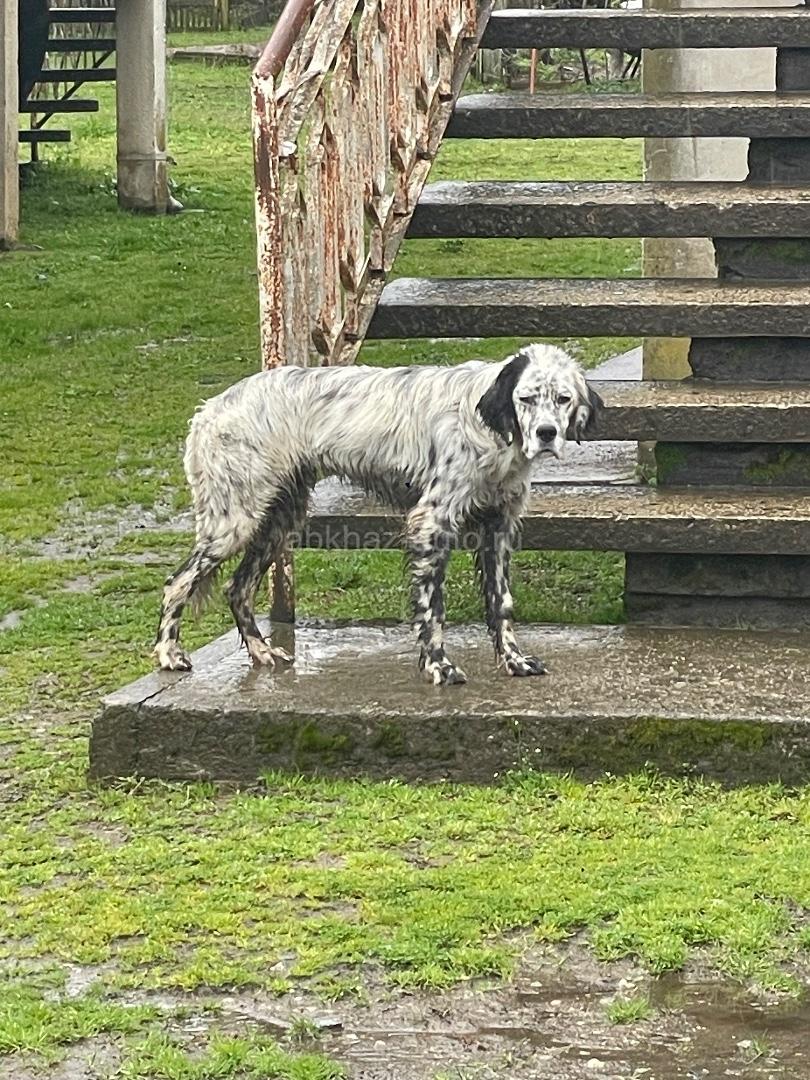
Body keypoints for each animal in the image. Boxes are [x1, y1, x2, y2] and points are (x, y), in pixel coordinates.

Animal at [154, 344, 601, 685]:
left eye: (563, 399)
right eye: (526, 399)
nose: (546, 433)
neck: (493, 434)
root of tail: (210, 408)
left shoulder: (499, 529)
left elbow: (501, 603)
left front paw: (514, 660)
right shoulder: (430, 522)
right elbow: (433, 608)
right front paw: (439, 667)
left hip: (280, 521)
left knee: (238, 587)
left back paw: (262, 651)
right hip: (235, 520)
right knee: (178, 584)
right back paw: (169, 654)